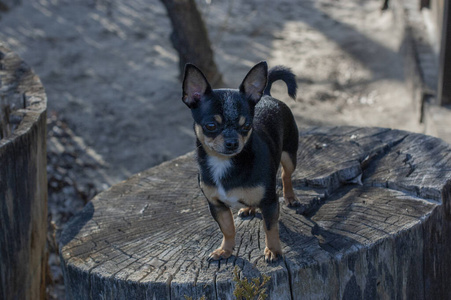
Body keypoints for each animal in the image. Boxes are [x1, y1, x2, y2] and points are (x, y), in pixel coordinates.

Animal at [182, 61, 298, 262]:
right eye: (211, 126)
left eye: (247, 126)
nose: (232, 142)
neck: (224, 163)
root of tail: (267, 95)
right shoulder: (217, 206)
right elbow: (228, 228)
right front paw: (225, 250)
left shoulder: (269, 202)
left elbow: (270, 228)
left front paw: (273, 250)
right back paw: (249, 208)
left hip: (290, 156)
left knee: (286, 175)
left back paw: (290, 196)